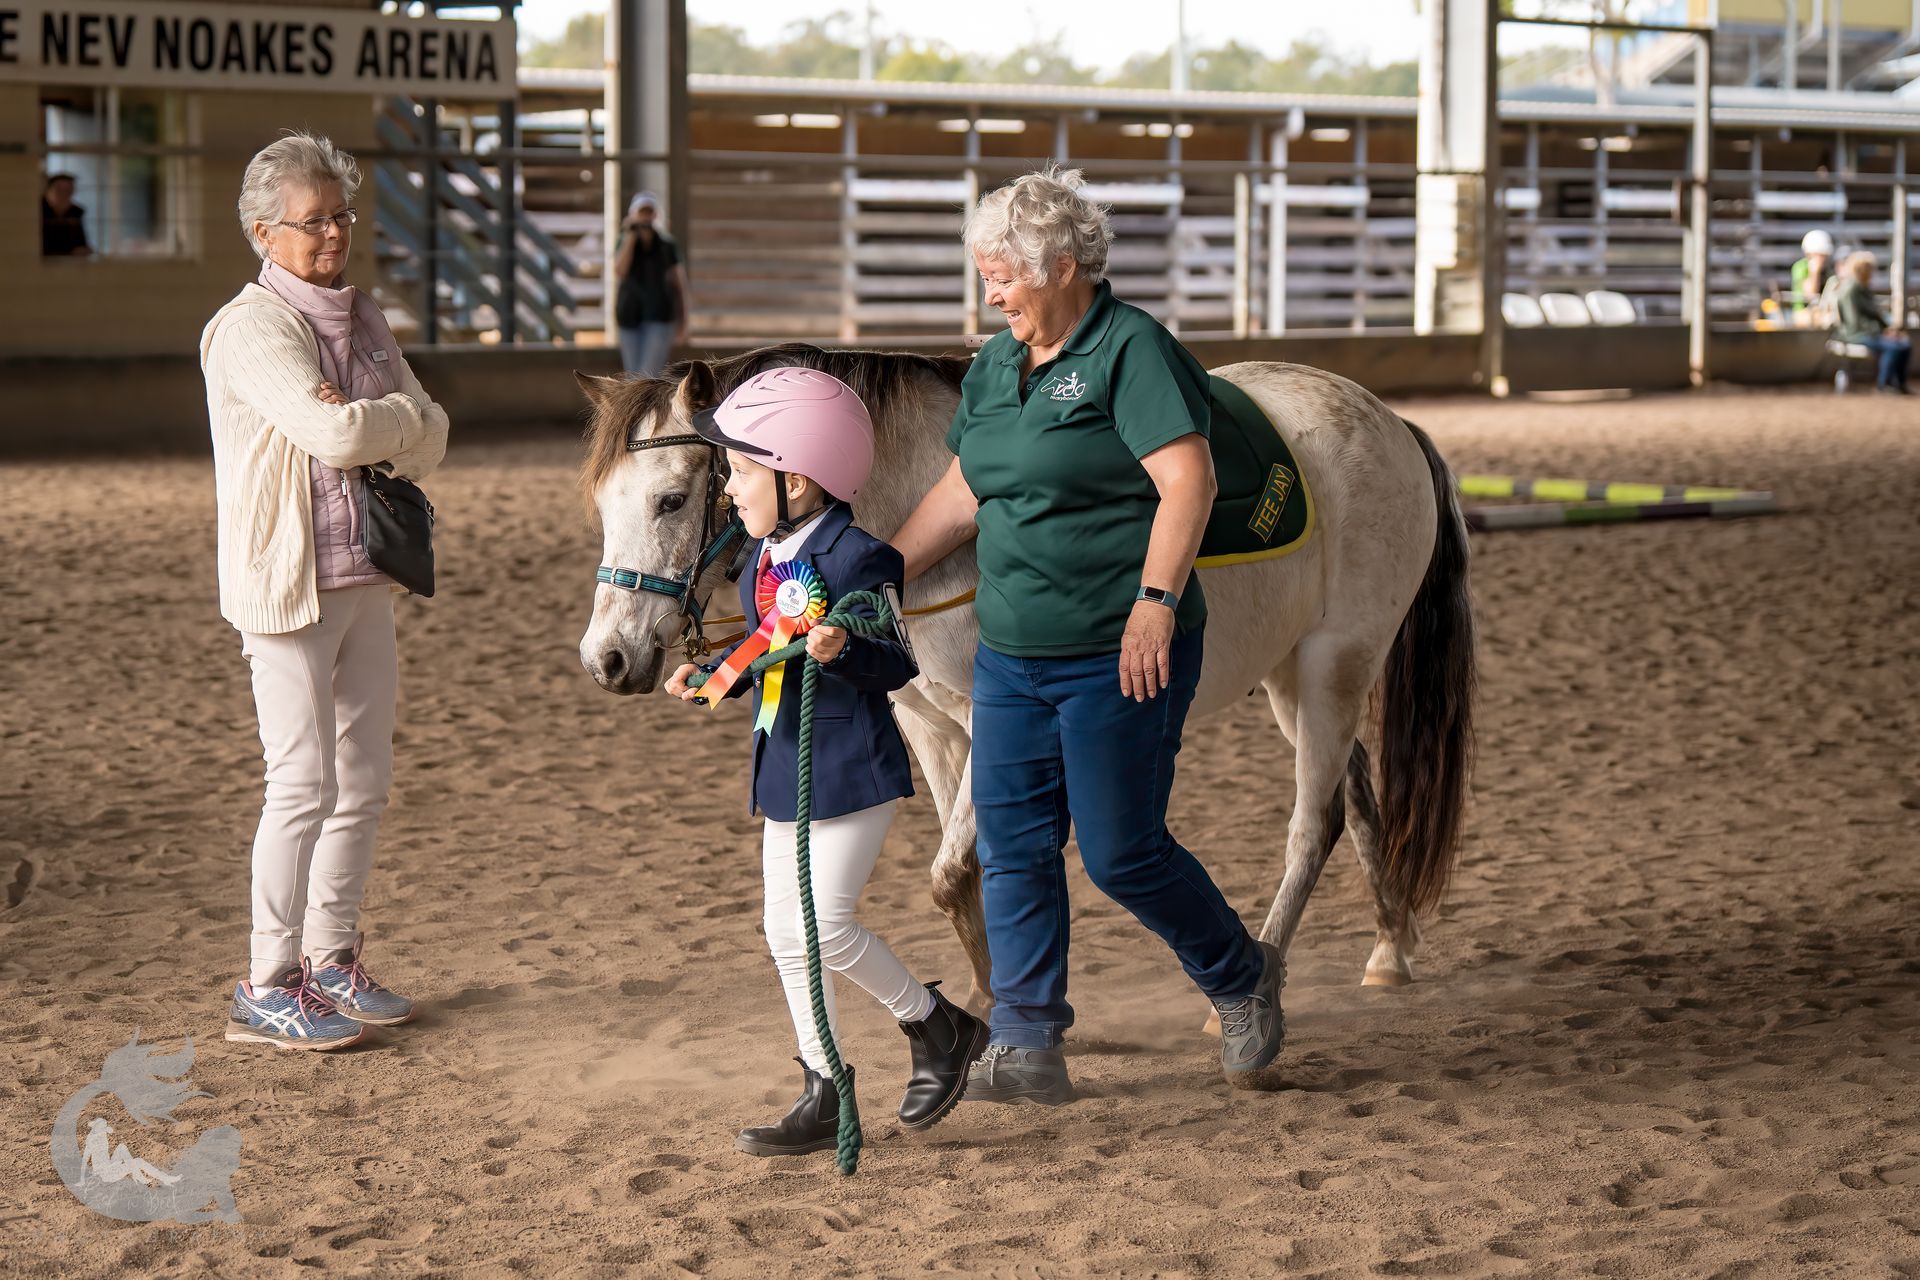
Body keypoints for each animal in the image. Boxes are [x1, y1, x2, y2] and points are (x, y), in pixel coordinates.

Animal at [576, 343, 1474, 1036]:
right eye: (604, 504)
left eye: (672, 498)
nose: (606, 658)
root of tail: (1390, 423)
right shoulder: (930, 726)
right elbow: (962, 874)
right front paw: (984, 999)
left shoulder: (991, 719)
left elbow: (959, 870)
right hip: (1293, 676)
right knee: (1358, 799)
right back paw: (1389, 949)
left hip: (1335, 664)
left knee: (1312, 825)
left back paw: (1261, 980)